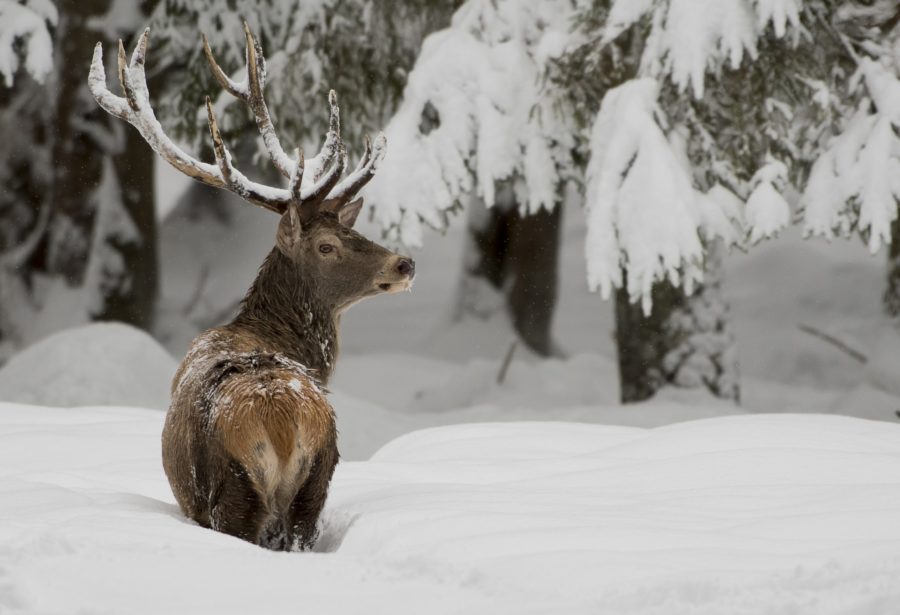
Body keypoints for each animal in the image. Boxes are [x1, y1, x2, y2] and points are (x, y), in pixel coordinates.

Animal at [89, 25, 414, 552]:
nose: (404, 263)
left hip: (248, 490)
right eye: (327, 245)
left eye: (351, 232)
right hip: (305, 484)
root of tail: (282, 419)